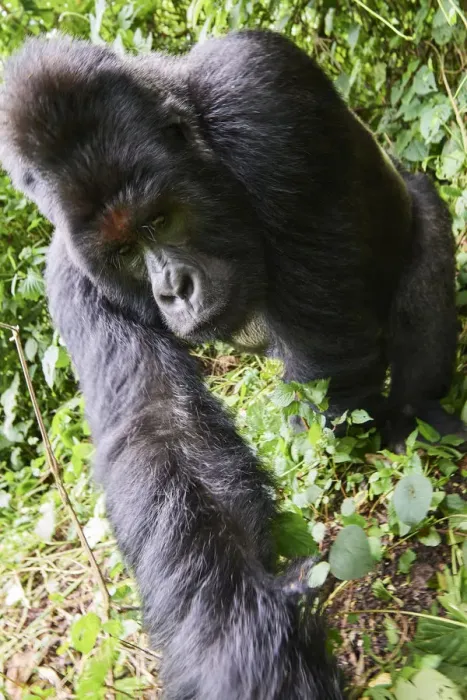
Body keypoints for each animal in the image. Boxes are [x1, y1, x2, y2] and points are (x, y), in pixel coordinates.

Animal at [0, 31, 463, 452]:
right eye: (125, 251)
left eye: (160, 220)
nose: (174, 290)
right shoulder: (69, 276)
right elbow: (160, 422)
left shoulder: (258, 92)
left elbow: (330, 372)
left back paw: (417, 414)